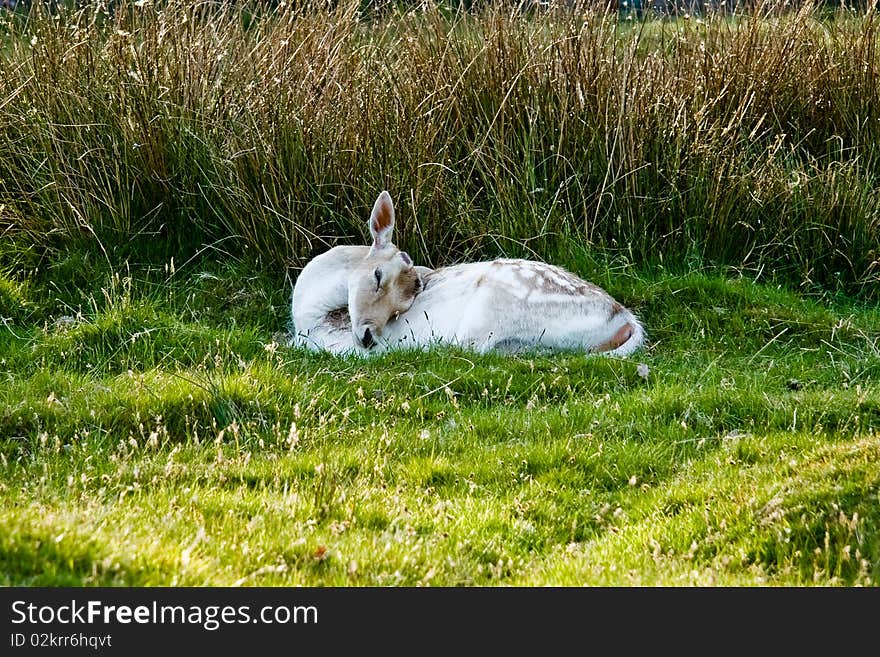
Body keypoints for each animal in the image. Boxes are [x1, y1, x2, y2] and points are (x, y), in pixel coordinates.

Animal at [292, 190, 644, 356]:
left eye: (400, 310)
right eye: (377, 277)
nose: (368, 337)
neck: (305, 321)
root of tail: (627, 320)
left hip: (490, 308)